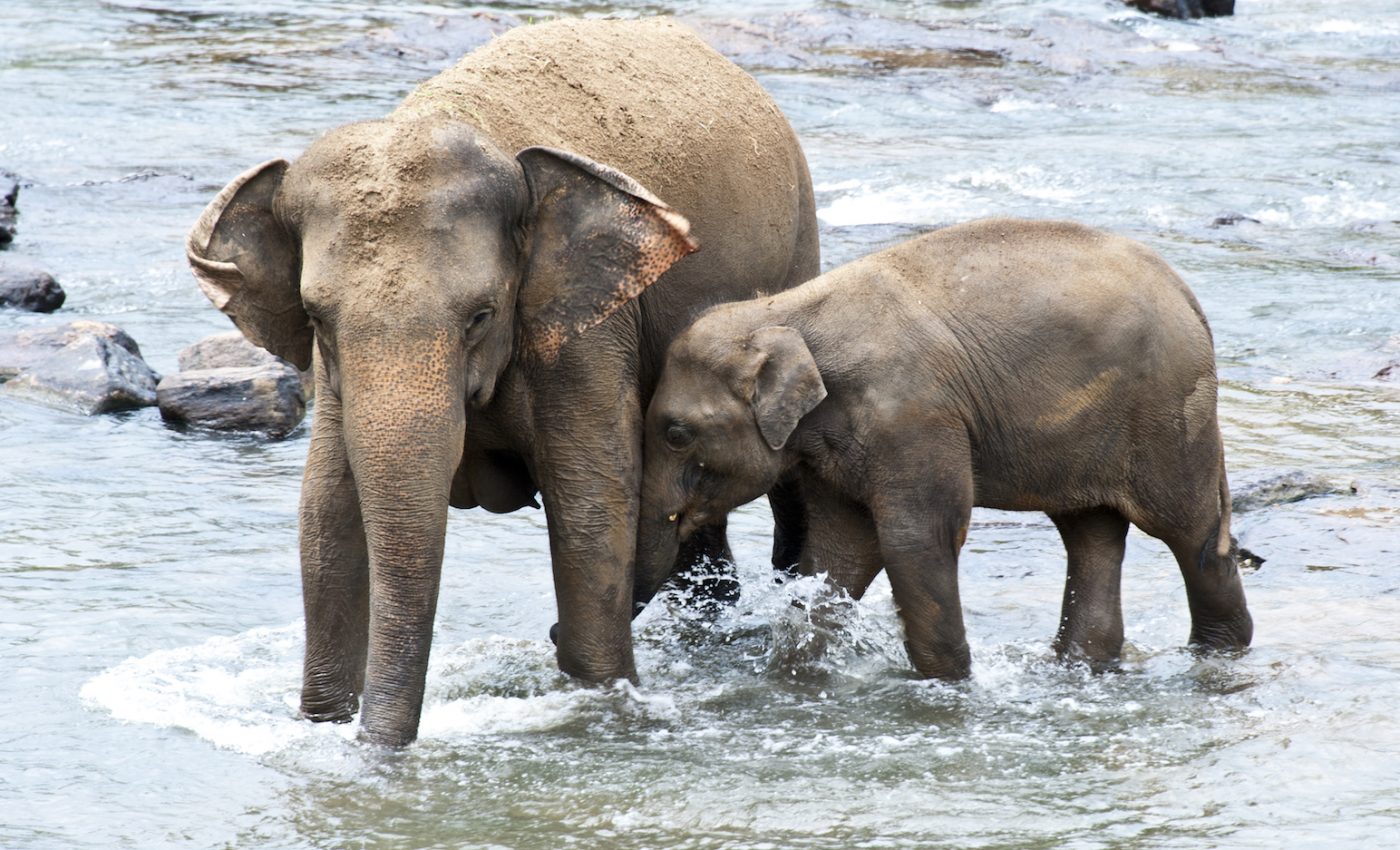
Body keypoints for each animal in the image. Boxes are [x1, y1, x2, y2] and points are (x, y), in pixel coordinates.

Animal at [186, 18, 818, 746]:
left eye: (482, 315)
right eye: (316, 317)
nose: (378, 746)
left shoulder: (585, 329)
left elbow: (593, 506)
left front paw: (602, 700)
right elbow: (326, 514)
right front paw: (321, 725)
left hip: (799, 251)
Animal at [634, 218, 1253, 680]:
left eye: (676, 433)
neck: (787, 311)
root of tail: (1185, 294)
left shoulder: (913, 416)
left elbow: (916, 538)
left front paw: (949, 684)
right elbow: (841, 547)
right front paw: (798, 669)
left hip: (1171, 413)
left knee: (1190, 533)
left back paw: (1219, 652)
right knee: (1091, 530)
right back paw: (1080, 664)